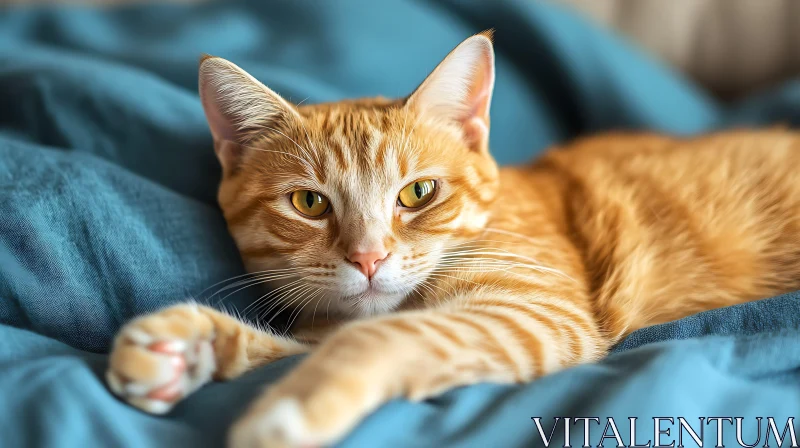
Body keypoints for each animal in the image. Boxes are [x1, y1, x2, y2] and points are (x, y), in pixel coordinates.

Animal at [104, 32, 800, 448]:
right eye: (309, 203)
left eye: (418, 193)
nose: (368, 257)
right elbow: (298, 346)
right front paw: (182, 347)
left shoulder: (534, 311)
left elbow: (376, 338)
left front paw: (286, 412)